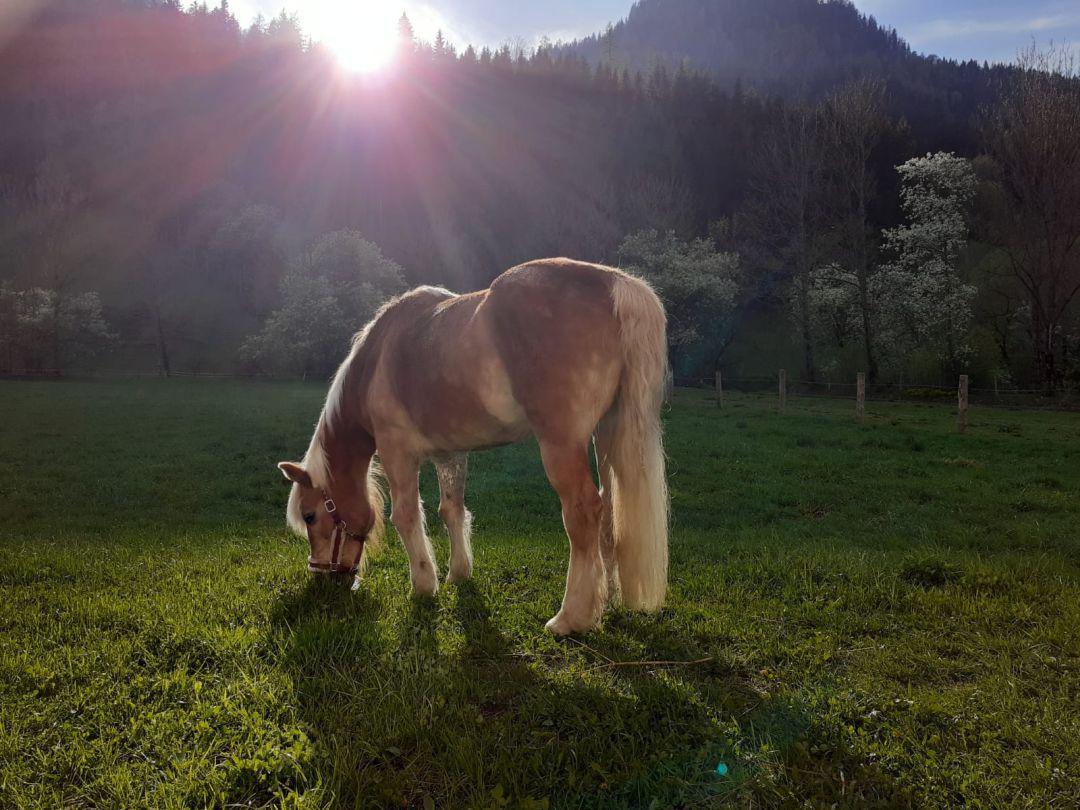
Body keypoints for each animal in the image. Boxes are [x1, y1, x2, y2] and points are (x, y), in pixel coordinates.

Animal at [278, 258, 665, 635]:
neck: (376, 362)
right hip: (606, 436)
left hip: (562, 446)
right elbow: (451, 510)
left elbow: (406, 516)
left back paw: (570, 618)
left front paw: (423, 585)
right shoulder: (450, 456)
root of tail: (614, 285)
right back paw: (605, 599)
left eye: (311, 515)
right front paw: (458, 573)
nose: (322, 578)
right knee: (610, 509)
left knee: (584, 512)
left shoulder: (397, 454)